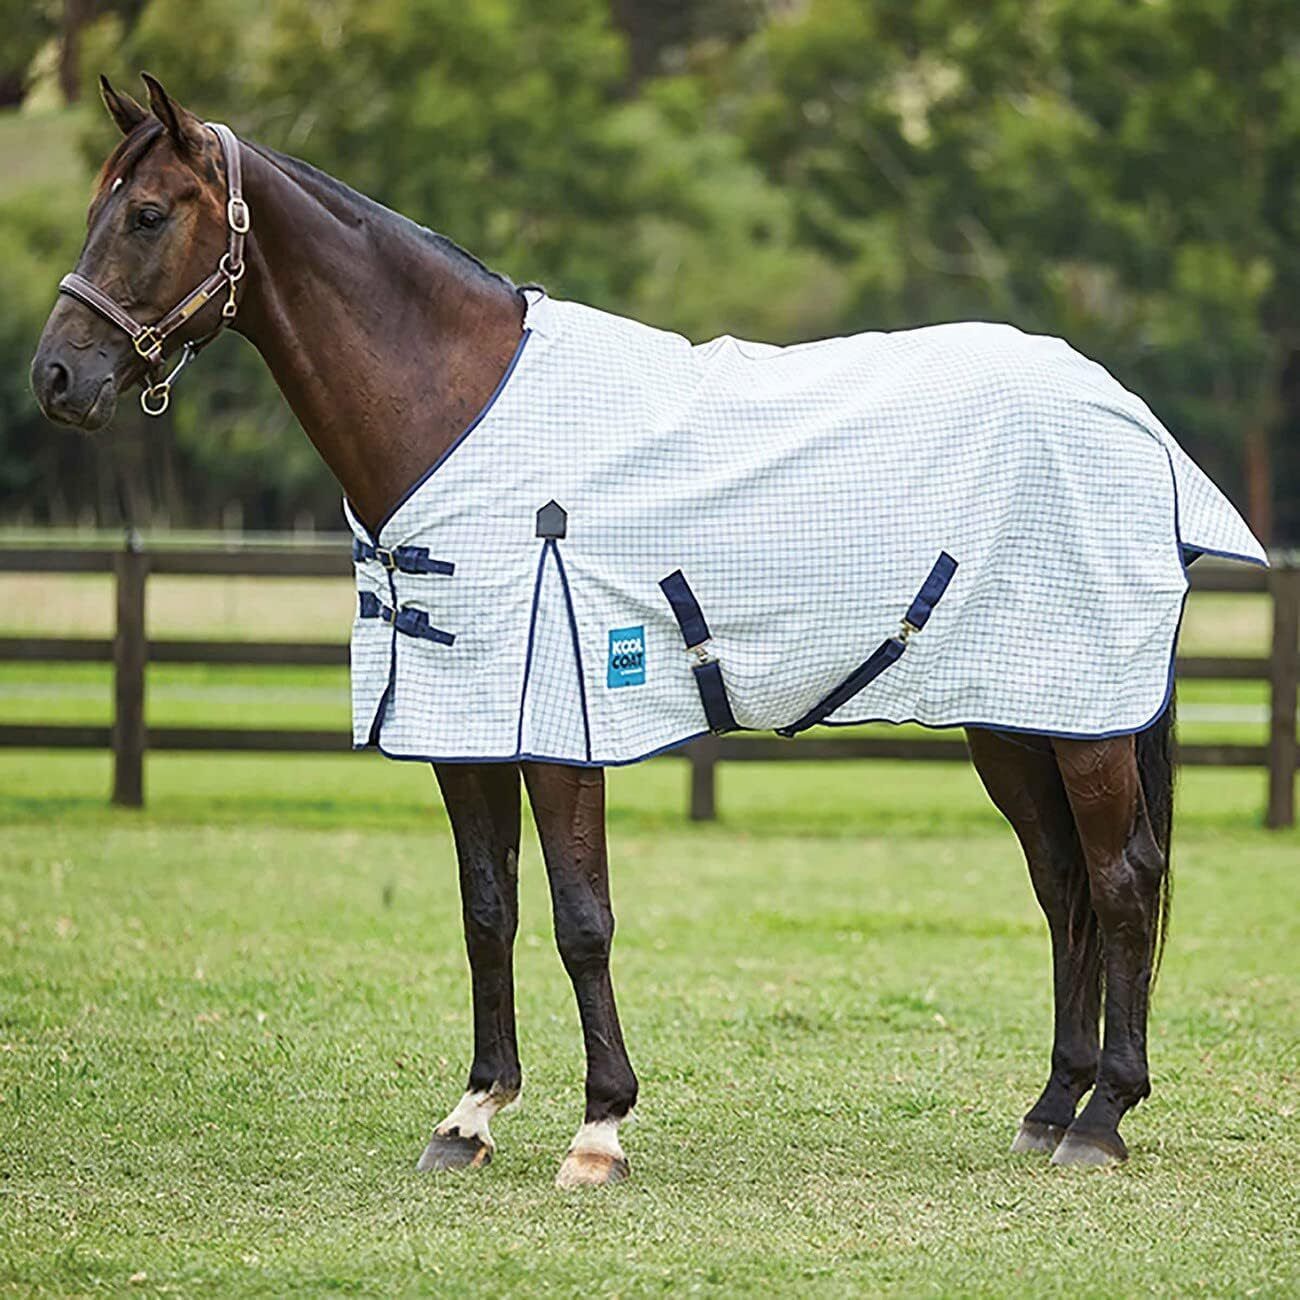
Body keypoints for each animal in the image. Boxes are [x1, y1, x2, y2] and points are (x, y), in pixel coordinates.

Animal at [32, 75, 1199, 1187]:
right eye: (93, 206)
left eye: (146, 214)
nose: (56, 377)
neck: (462, 414)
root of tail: (1123, 412)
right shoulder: (465, 730)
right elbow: (487, 909)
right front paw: (472, 1113)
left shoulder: (562, 728)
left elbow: (580, 918)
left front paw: (600, 1128)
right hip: (1015, 716)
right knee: (1062, 886)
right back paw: (1051, 1108)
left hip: (1084, 719)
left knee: (1121, 878)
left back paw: (1103, 1118)